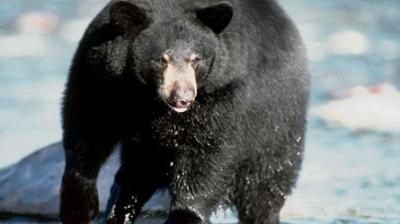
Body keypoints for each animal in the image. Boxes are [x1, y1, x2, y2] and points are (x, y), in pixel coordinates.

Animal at [58, 0, 310, 223]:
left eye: (195, 59)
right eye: (161, 59)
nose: (183, 97)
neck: (148, 98)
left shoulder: (223, 93)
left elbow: (208, 154)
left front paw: (185, 215)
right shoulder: (101, 74)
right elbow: (88, 124)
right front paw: (79, 205)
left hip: (275, 128)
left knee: (263, 187)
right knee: (136, 173)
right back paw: (119, 208)